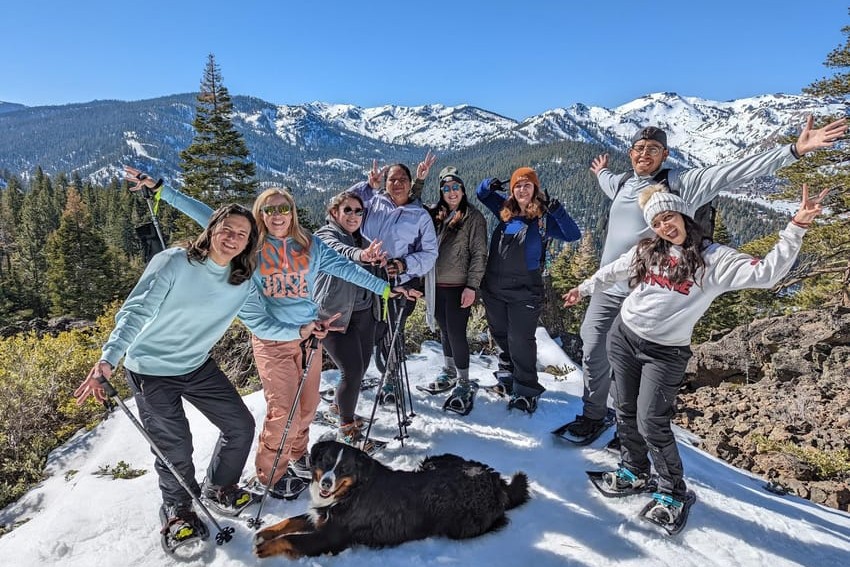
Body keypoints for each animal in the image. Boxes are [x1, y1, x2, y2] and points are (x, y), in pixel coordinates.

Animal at [253, 440, 528, 560]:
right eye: (326, 462)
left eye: (344, 469)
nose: (326, 484)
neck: (352, 492)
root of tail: (494, 481)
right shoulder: (321, 514)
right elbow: (290, 522)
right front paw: (265, 532)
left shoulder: (331, 537)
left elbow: (292, 538)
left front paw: (265, 547)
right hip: (433, 461)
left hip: (460, 525)